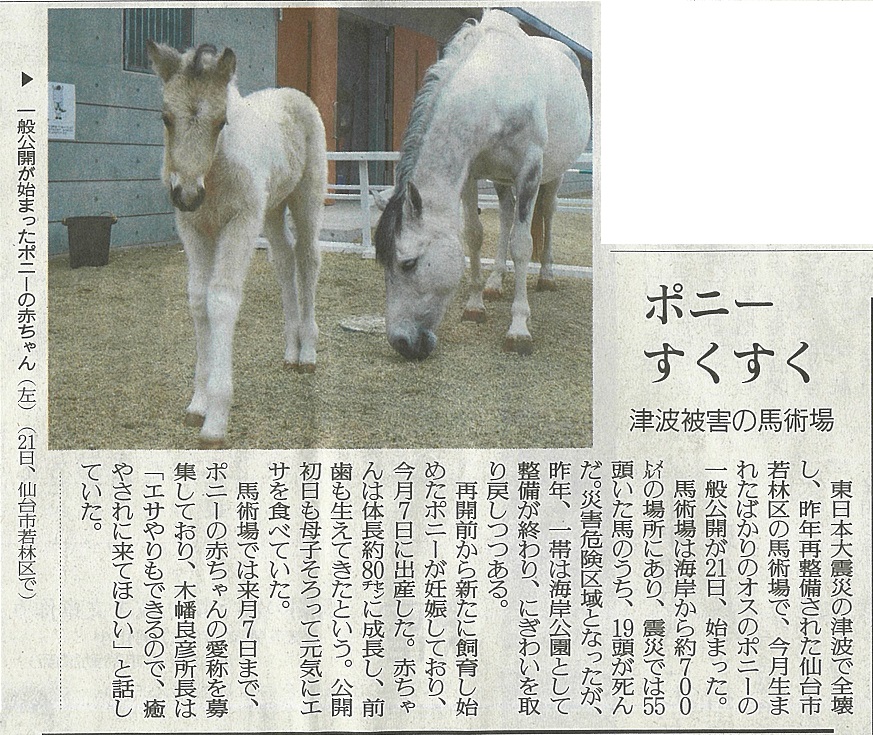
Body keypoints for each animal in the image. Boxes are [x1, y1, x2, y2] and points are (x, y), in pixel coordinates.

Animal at [146, 41, 328, 448]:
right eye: (165, 118)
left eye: (220, 123)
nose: (187, 194)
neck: (214, 175)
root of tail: (293, 94)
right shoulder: (193, 227)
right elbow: (199, 299)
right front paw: (197, 404)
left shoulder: (240, 223)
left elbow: (222, 299)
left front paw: (215, 419)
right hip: (272, 208)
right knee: (284, 259)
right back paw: (291, 350)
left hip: (305, 197)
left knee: (308, 258)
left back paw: (307, 352)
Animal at [372, 7, 588, 360]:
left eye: (408, 264)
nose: (402, 344)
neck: (494, 94)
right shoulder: (471, 173)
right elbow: (474, 236)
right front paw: (475, 305)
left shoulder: (530, 170)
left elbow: (522, 244)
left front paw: (519, 329)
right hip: (500, 179)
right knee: (506, 215)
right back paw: (495, 282)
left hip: (552, 175)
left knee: (547, 213)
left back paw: (546, 276)